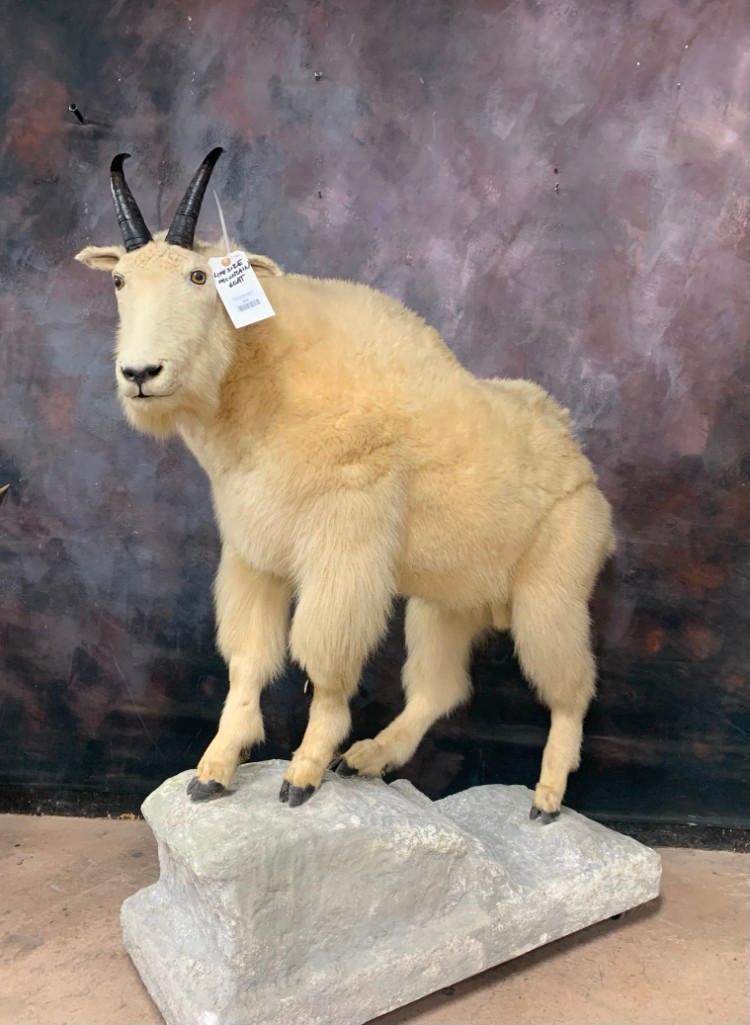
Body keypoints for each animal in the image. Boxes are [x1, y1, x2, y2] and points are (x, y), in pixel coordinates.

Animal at [76, 149, 615, 819]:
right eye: (119, 281)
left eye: (200, 277)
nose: (141, 373)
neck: (267, 386)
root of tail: (582, 465)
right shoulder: (255, 552)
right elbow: (249, 658)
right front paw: (215, 768)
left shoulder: (342, 548)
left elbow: (324, 660)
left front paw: (303, 772)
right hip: (447, 601)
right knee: (439, 688)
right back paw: (369, 757)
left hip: (552, 591)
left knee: (571, 691)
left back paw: (546, 793)